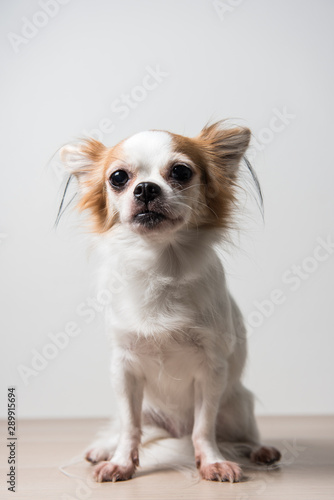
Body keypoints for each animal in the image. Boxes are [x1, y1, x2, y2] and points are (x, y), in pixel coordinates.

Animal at [59, 121, 280, 480]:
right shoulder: (124, 370)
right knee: (130, 427)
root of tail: (175, 432)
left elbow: (203, 428)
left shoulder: (212, 370)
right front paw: (120, 462)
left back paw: (260, 450)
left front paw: (212, 462)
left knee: (240, 436)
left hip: (237, 406)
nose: (146, 189)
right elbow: (130, 428)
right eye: (118, 177)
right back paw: (104, 448)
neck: (161, 262)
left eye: (180, 171)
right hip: (149, 409)